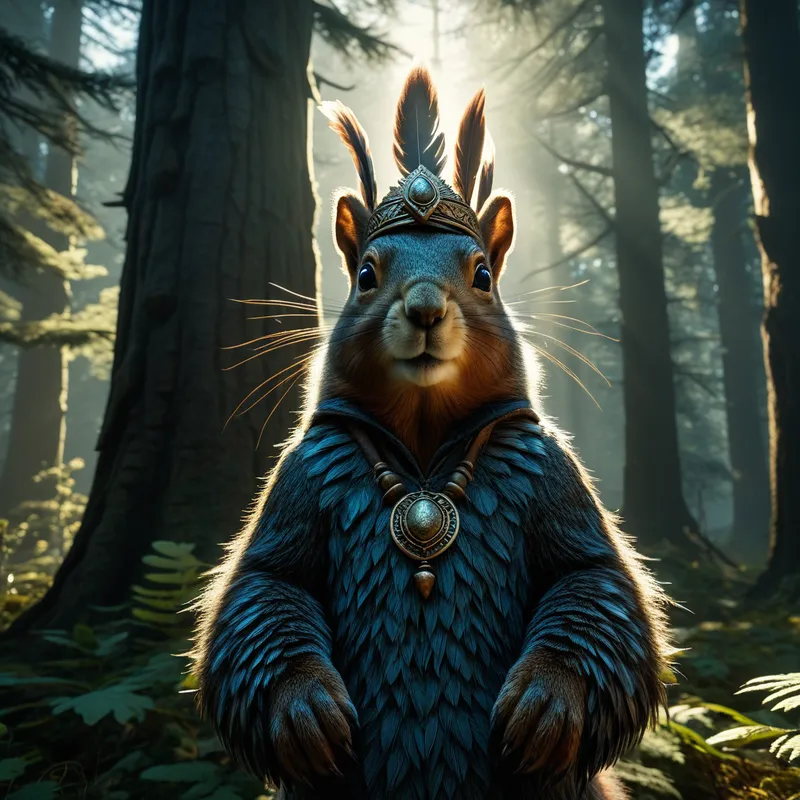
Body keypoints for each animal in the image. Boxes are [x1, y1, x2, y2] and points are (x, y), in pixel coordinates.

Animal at [190, 67, 673, 800]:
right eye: (365, 274)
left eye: (483, 274)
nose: (423, 308)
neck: (421, 453)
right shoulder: (301, 479)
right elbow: (266, 586)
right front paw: (305, 709)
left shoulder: (551, 475)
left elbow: (593, 580)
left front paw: (546, 703)